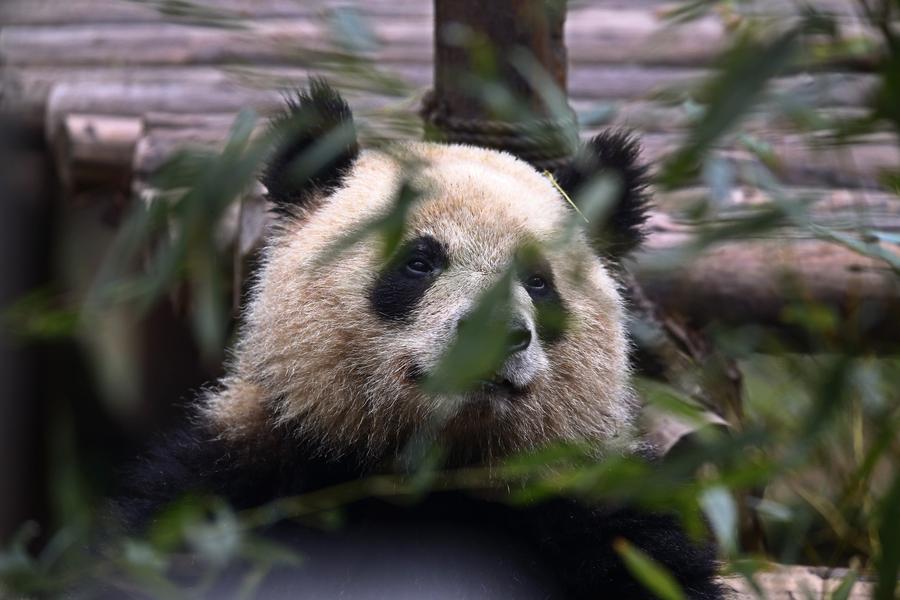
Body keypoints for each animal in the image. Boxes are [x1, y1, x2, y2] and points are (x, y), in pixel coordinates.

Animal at [118, 79, 724, 600]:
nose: (494, 335)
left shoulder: (604, 515)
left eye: (538, 281)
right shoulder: (239, 483)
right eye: (419, 261)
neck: (435, 464)